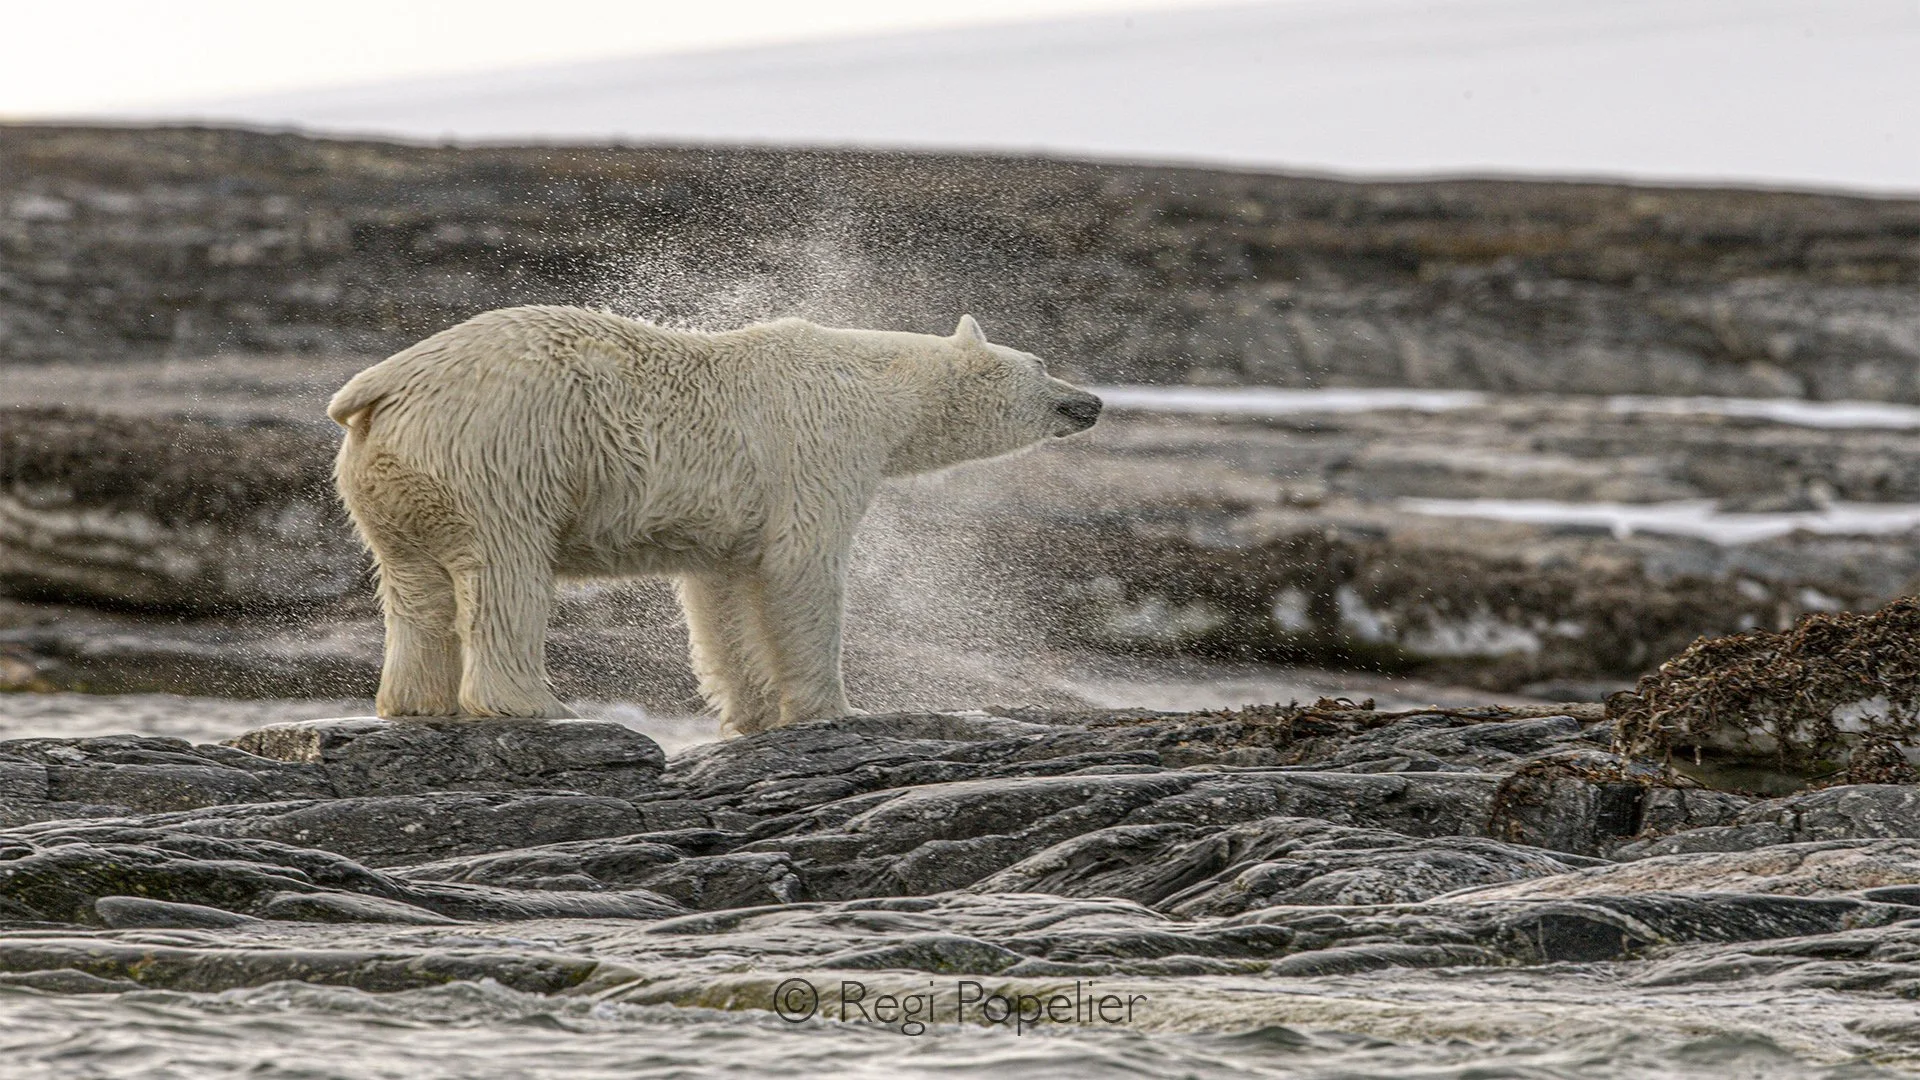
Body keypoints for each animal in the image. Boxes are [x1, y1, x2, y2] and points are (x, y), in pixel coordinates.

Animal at [326, 305, 1101, 734]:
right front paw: (832, 708)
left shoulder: (728, 517)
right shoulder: (818, 447)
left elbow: (722, 592)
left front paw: (751, 711)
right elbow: (802, 567)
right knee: (505, 572)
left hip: (393, 474)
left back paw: (414, 702)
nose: (1091, 402)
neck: (877, 387)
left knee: (413, 583)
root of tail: (383, 384)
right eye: (1041, 363)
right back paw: (535, 704)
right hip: (502, 452)